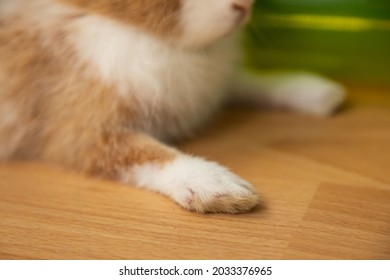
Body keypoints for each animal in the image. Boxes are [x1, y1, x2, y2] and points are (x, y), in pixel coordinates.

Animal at [0, 0, 344, 213]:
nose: (244, 6)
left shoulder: (217, 86)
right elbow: (149, 155)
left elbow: (251, 83)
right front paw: (222, 189)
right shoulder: (89, 133)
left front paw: (321, 93)